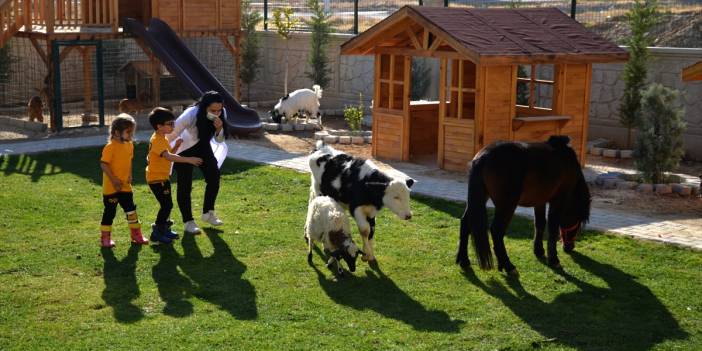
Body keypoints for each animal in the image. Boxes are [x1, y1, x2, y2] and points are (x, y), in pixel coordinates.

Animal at [456, 136, 592, 276]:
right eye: (578, 222)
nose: (569, 247)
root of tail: (483, 157)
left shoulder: (540, 201)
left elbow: (540, 224)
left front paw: (539, 251)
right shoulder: (559, 200)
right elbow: (553, 227)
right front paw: (554, 259)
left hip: (480, 198)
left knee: (465, 223)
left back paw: (464, 261)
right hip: (507, 206)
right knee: (496, 231)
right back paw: (508, 266)